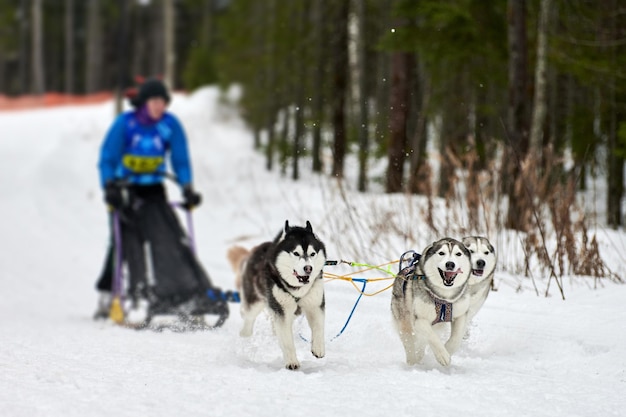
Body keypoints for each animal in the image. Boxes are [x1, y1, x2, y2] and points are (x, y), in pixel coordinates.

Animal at [225, 219, 324, 368]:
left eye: (313, 254)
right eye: (296, 253)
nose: (308, 268)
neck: (297, 289)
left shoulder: (315, 304)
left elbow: (318, 327)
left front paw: (318, 347)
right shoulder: (281, 310)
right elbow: (287, 340)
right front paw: (291, 361)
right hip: (256, 301)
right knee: (248, 317)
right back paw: (245, 334)